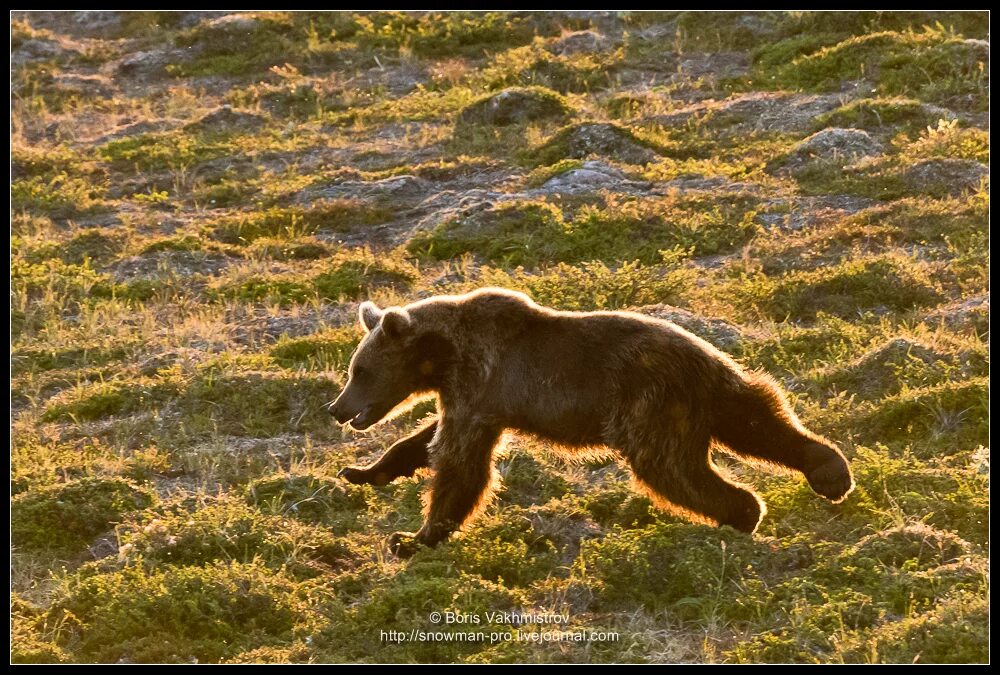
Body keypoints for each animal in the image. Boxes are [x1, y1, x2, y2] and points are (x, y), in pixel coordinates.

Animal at [328, 288, 852, 556]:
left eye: (360, 370)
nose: (337, 408)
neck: (444, 355)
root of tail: (702, 361)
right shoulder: (478, 400)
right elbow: (425, 442)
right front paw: (362, 471)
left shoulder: (483, 385)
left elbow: (461, 464)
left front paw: (413, 537)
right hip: (717, 393)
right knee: (761, 420)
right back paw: (830, 473)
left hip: (649, 405)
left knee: (672, 469)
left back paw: (742, 513)